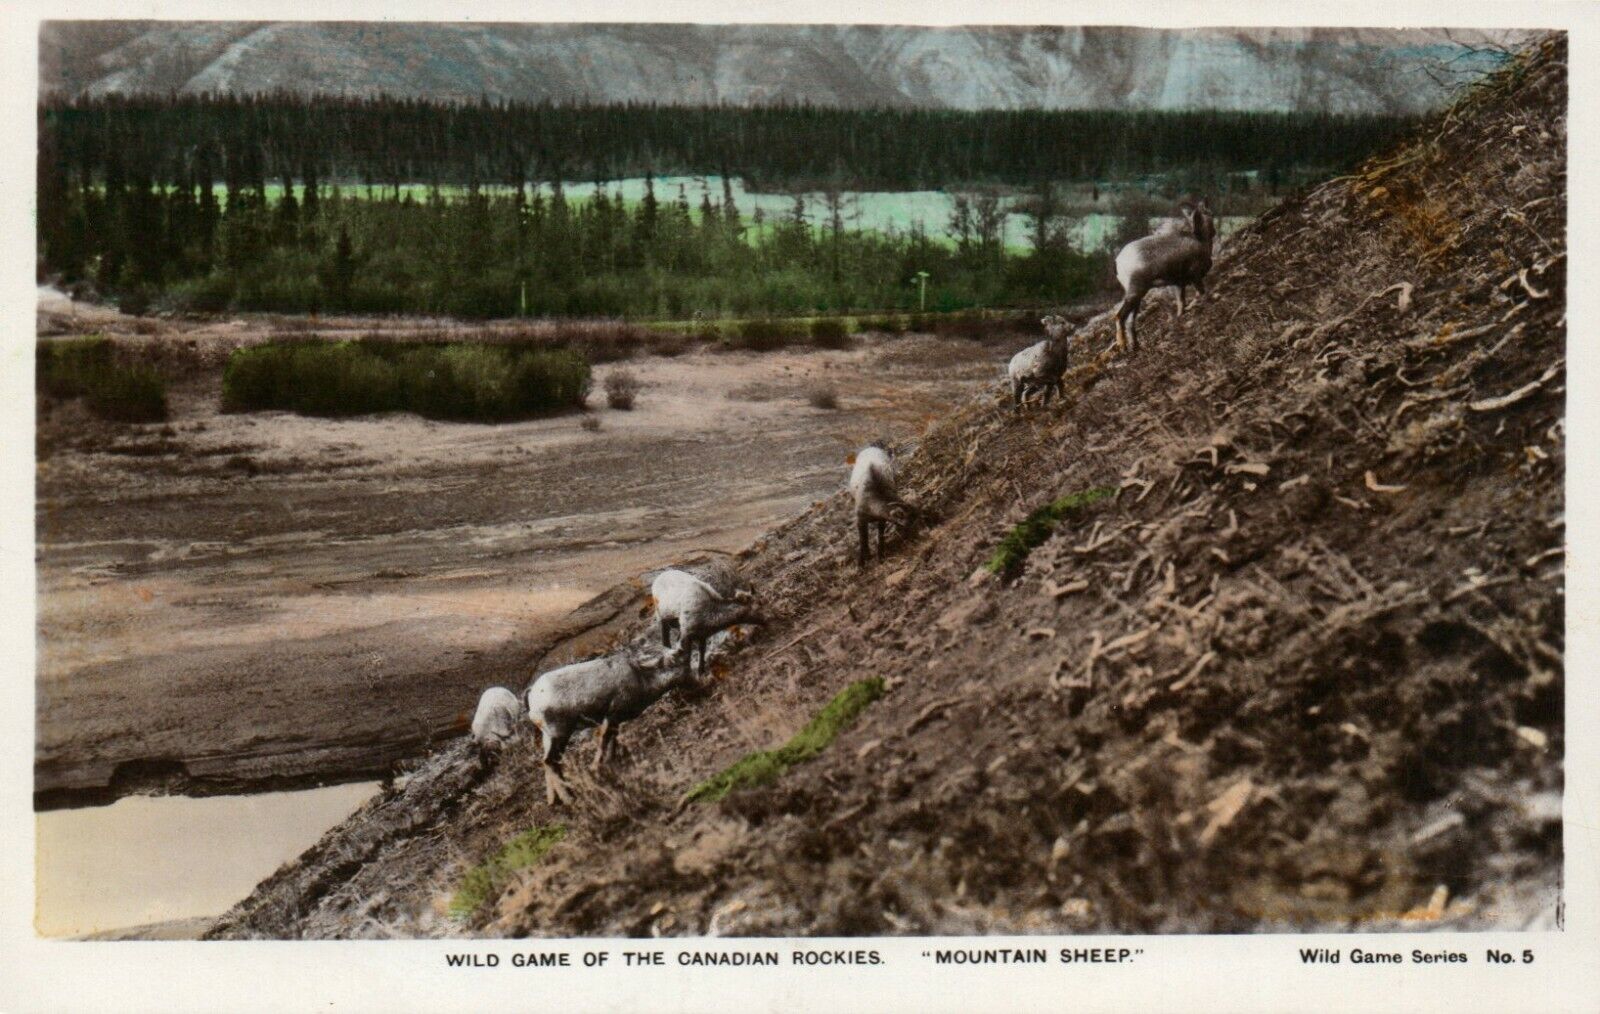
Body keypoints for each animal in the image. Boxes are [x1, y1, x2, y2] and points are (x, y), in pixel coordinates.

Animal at [524, 642, 688, 802]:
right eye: (671, 660)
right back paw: (569, 798)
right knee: (550, 761)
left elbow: (612, 740)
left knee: (546, 761)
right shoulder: (611, 716)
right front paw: (597, 767)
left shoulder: (615, 721)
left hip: (548, 736)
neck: (639, 676)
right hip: (559, 734)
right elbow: (605, 740)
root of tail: (532, 694)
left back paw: (553, 799)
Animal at [1113, 198, 1209, 355]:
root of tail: (1118, 261)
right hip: (1135, 293)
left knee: (1130, 322)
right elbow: (1201, 293)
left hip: (1137, 297)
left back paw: (1136, 346)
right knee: (1119, 316)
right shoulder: (1195, 277)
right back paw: (1123, 346)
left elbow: (1181, 303)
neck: (1201, 242)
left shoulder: (1179, 284)